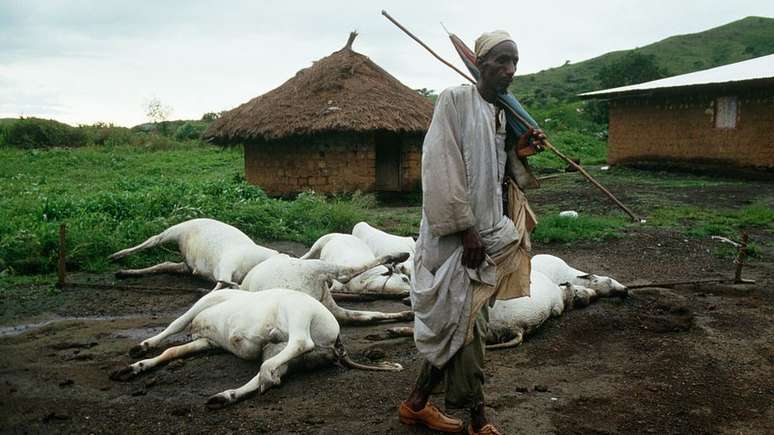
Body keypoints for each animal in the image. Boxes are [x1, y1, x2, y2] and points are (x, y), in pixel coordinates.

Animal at [111, 290, 404, 408]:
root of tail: (339, 342)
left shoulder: (205, 303)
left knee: (301, 341)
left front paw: (141, 347)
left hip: (298, 311)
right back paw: (228, 395)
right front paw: (133, 368)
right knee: (281, 365)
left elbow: (174, 324)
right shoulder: (208, 341)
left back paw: (263, 376)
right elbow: (172, 352)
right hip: (279, 350)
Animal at [242, 250, 416, 326]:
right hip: (316, 268)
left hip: (328, 302)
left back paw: (407, 314)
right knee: (346, 274)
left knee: (366, 316)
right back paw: (401, 255)